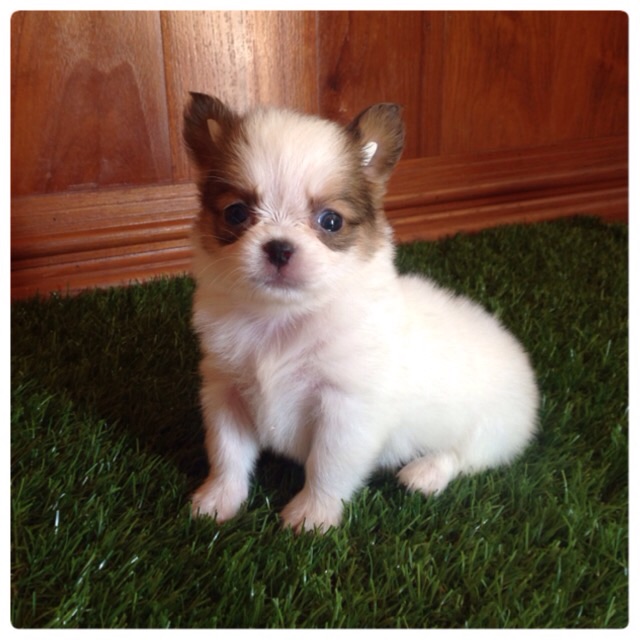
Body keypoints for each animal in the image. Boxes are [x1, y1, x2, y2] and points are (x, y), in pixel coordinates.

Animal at [183, 92, 539, 533]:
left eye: (330, 221)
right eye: (235, 213)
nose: (279, 247)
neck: (282, 318)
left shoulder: (346, 410)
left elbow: (327, 466)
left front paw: (312, 515)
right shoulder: (225, 392)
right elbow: (227, 453)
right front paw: (218, 499)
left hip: (492, 429)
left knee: (462, 455)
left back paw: (424, 473)